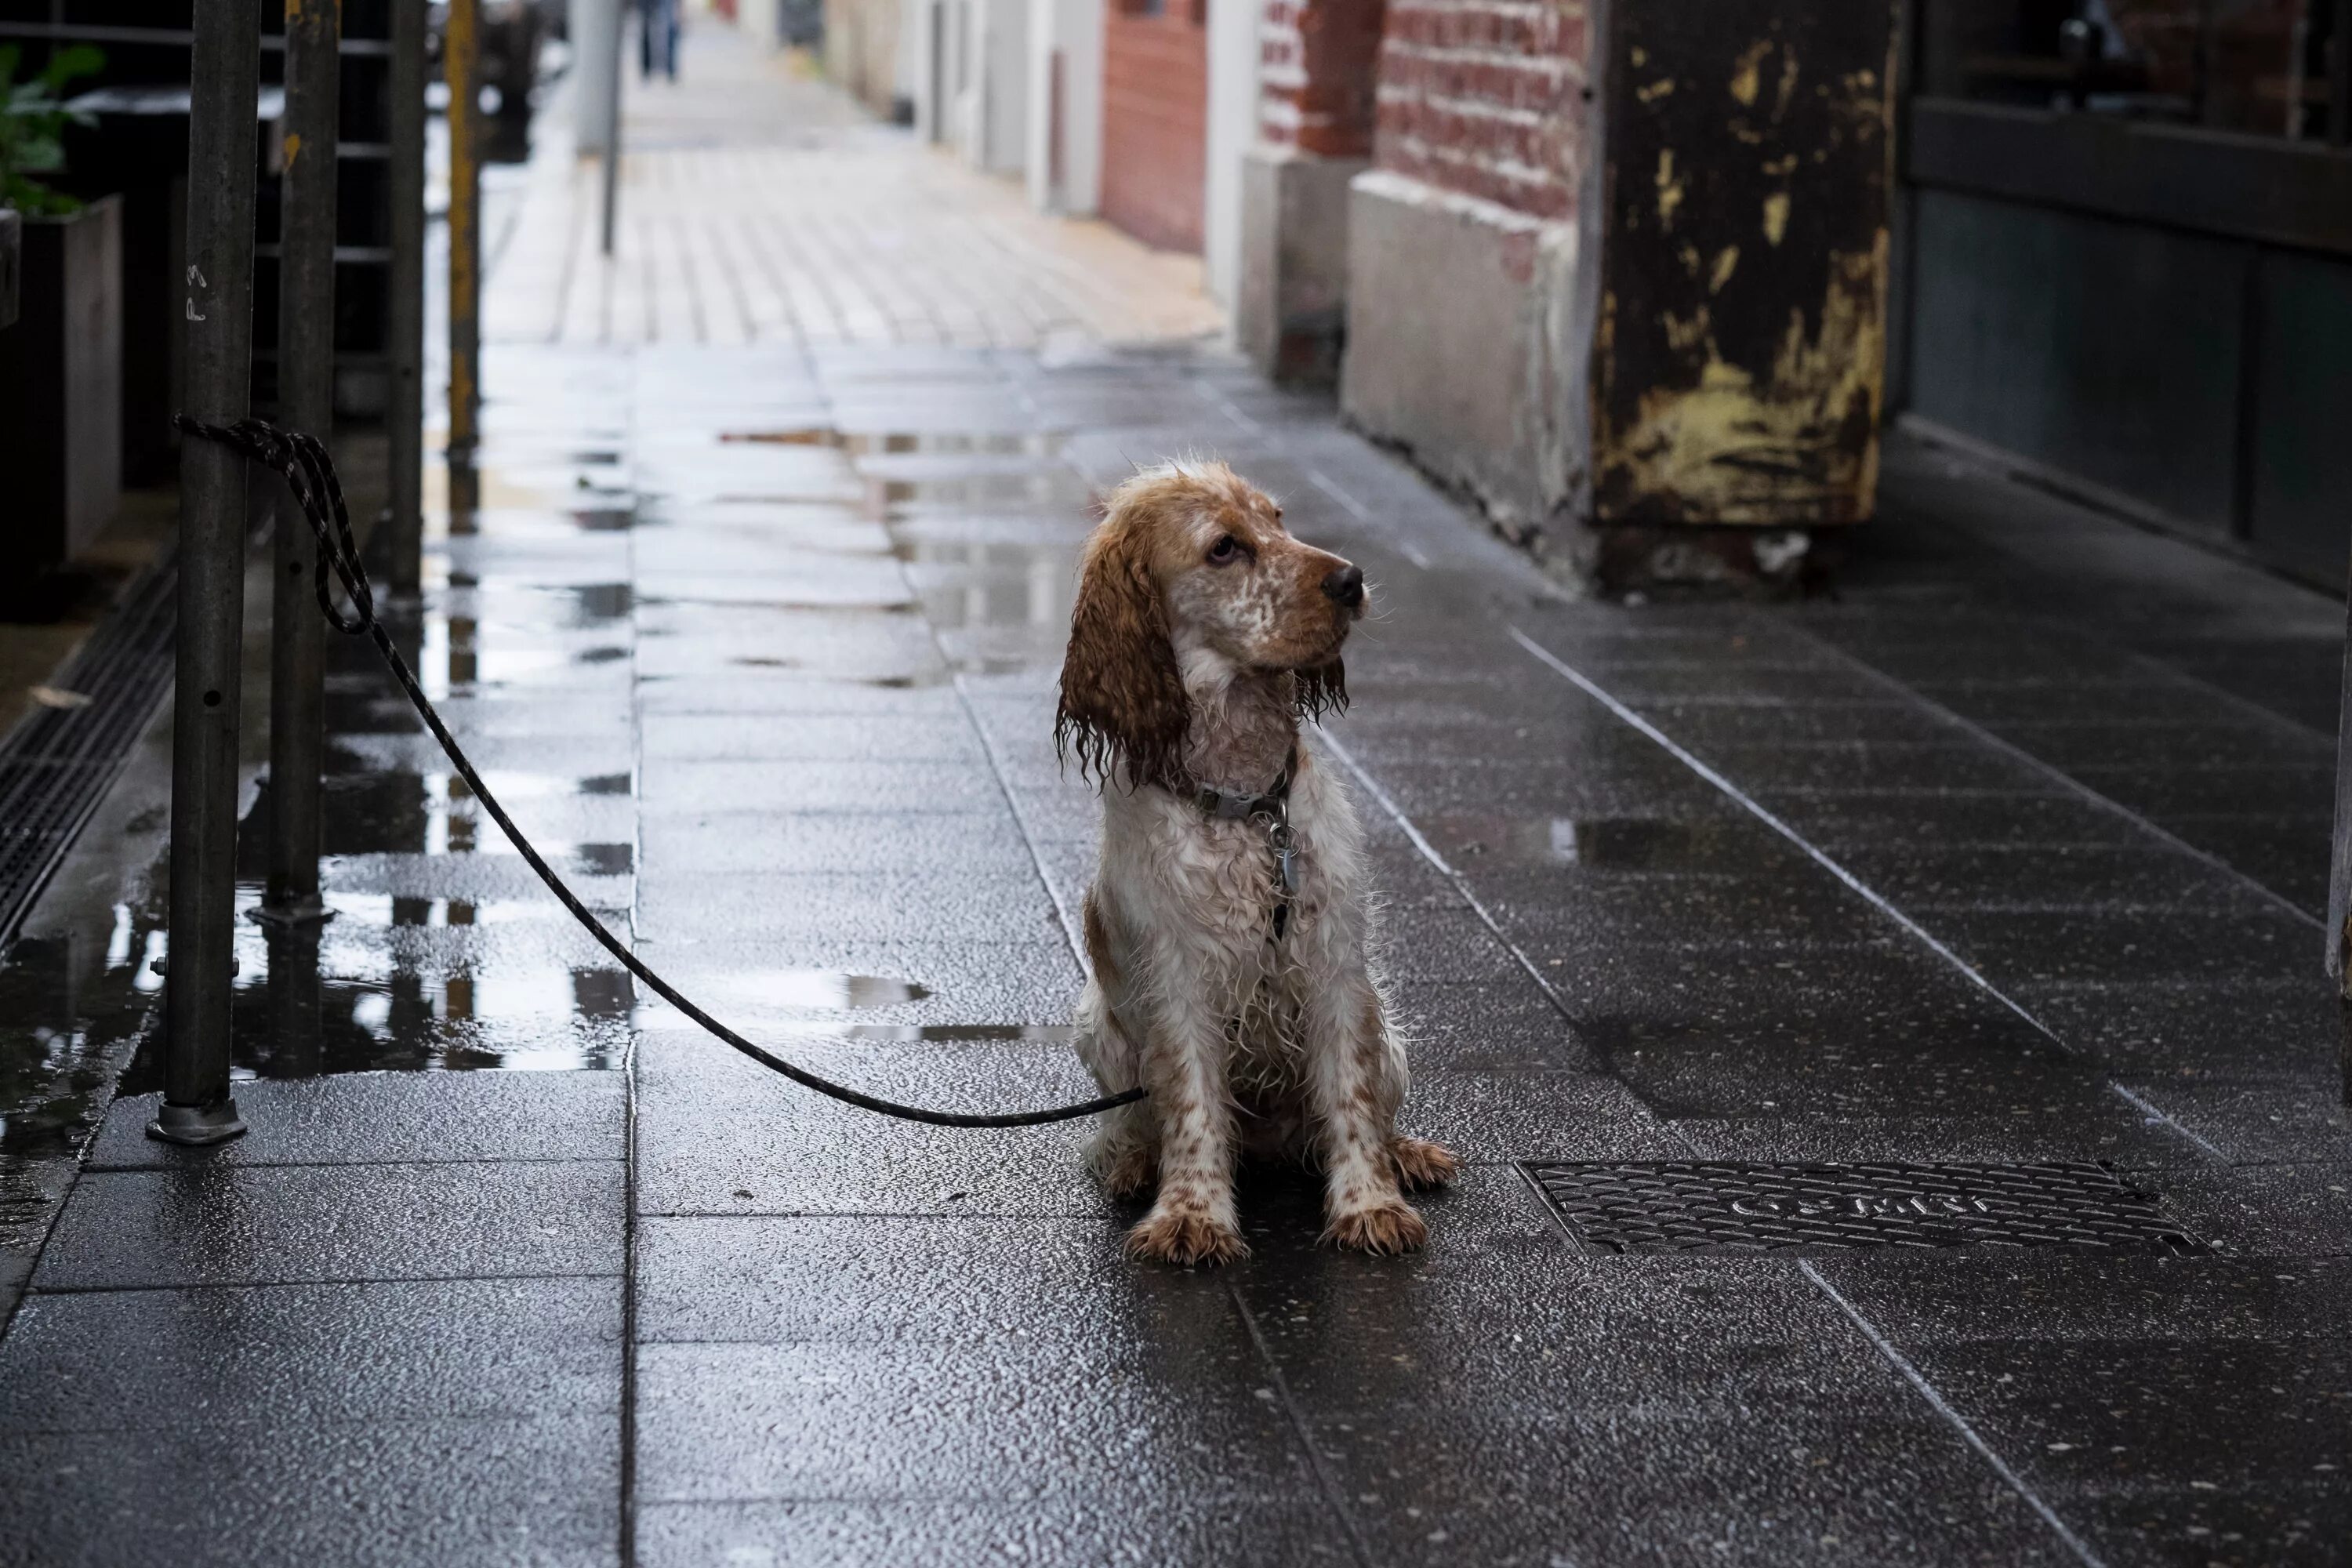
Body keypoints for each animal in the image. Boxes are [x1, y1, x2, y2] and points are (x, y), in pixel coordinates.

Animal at [1063, 460, 1449, 1269]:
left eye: (1278, 520)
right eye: (1223, 548)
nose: (1351, 580)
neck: (1247, 809)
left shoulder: (1335, 964)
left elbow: (1351, 1102)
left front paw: (1370, 1206)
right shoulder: (1177, 979)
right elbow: (1190, 1107)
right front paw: (1192, 1216)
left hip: (1387, 1026)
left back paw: (1408, 1155)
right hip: (1096, 1027)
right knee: (1129, 1125)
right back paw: (1129, 1161)